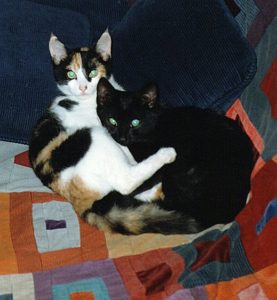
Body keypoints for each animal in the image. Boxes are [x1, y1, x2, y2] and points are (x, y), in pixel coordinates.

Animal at [28, 31, 176, 218]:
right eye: (71, 75)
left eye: (92, 72)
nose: (83, 87)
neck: (88, 101)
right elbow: (125, 147)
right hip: (94, 136)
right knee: (125, 182)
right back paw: (166, 155)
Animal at [82, 78, 256, 237]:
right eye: (112, 121)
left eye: (135, 122)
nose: (122, 138)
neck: (153, 125)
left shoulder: (158, 168)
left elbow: (135, 185)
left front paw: (101, 203)